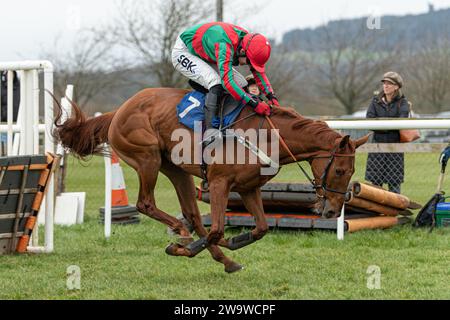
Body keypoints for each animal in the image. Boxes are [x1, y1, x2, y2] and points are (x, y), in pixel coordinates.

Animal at [53, 87, 370, 272]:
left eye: (351, 172)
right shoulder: (219, 184)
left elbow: (261, 228)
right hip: (147, 158)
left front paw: (233, 242)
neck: (266, 135)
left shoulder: (249, 188)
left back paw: (223, 259)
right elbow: (217, 228)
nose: (331, 211)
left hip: (176, 169)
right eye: (340, 171)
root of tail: (118, 110)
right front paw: (187, 247)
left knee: (193, 215)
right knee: (147, 204)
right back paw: (181, 233)